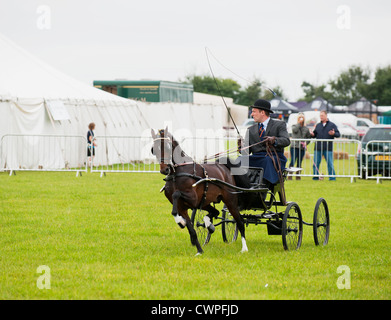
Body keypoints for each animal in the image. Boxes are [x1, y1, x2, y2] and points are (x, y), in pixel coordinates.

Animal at [150, 127, 248, 255]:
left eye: (167, 146)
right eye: (153, 149)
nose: (164, 170)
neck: (177, 174)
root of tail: (223, 167)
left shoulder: (193, 199)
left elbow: (176, 194)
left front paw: (180, 222)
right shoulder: (183, 208)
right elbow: (191, 229)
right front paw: (199, 250)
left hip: (230, 201)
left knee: (240, 222)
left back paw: (244, 248)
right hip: (205, 202)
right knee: (215, 212)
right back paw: (209, 224)